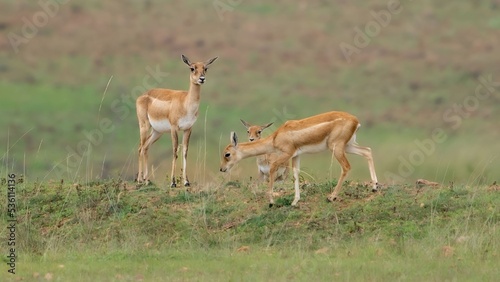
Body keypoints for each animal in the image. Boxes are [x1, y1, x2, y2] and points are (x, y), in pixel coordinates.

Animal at [137, 55, 217, 187]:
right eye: (192, 68)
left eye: (205, 68)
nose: (202, 79)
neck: (186, 103)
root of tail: (142, 96)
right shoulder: (174, 128)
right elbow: (175, 151)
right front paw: (173, 182)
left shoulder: (188, 129)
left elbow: (185, 151)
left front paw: (186, 182)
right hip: (144, 126)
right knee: (141, 147)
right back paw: (139, 180)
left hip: (157, 132)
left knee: (146, 147)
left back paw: (147, 180)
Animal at [220, 111, 378, 206]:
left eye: (227, 154)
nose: (222, 169)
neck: (276, 137)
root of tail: (355, 120)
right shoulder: (296, 155)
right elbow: (296, 174)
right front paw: (295, 201)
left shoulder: (287, 154)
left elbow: (272, 169)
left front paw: (271, 201)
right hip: (348, 146)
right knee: (368, 151)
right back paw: (374, 187)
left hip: (336, 148)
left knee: (346, 167)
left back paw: (331, 197)